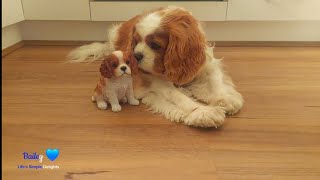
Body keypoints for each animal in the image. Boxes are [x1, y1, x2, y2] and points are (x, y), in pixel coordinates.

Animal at [69, 6, 244, 126]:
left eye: (154, 45)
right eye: (135, 42)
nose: (135, 56)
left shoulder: (207, 62)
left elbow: (216, 80)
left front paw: (224, 99)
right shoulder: (153, 80)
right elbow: (177, 96)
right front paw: (202, 111)